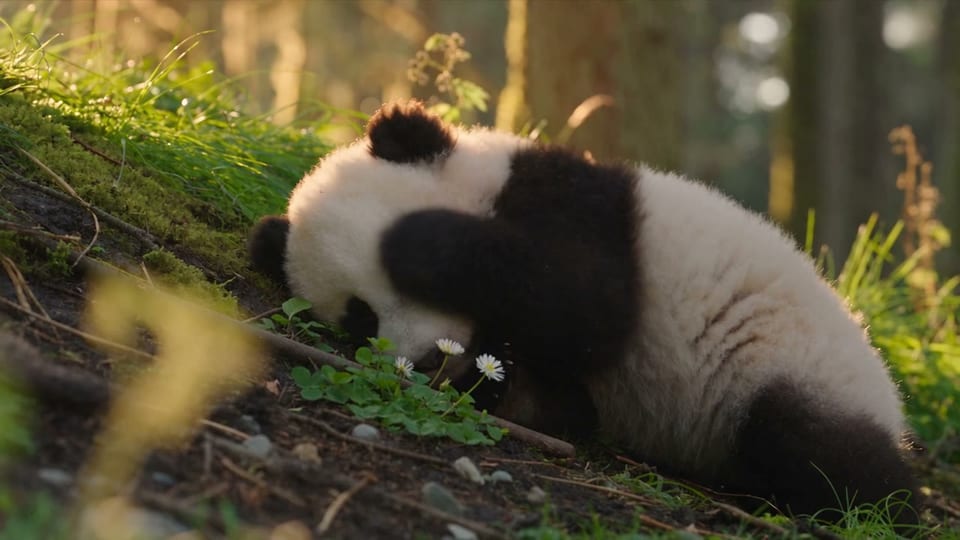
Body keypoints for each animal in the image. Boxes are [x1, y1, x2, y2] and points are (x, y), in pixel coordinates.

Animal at [249, 100, 919, 522]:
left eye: (404, 288)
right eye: (361, 315)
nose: (426, 359)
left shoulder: (578, 208)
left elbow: (587, 303)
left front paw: (415, 244)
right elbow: (562, 388)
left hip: (797, 365)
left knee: (820, 450)